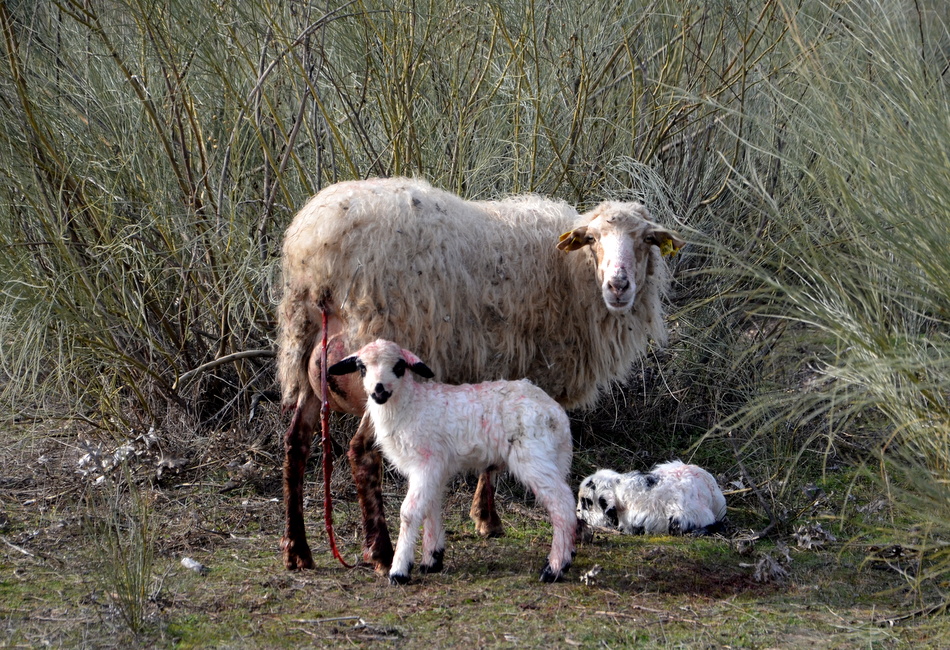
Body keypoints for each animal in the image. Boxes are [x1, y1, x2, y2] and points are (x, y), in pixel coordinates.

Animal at [330, 340, 580, 584]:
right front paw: (432, 559)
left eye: (399, 366)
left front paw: (399, 571)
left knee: (562, 504)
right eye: (362, 368)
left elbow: (409, 512)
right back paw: (566, 557)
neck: (410, 406)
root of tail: (555, 413)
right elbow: (430, 507)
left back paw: (554, 568)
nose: (379, 390)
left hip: (534, 457)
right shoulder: (436, 468)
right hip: (555, 458)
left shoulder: (426, 462)